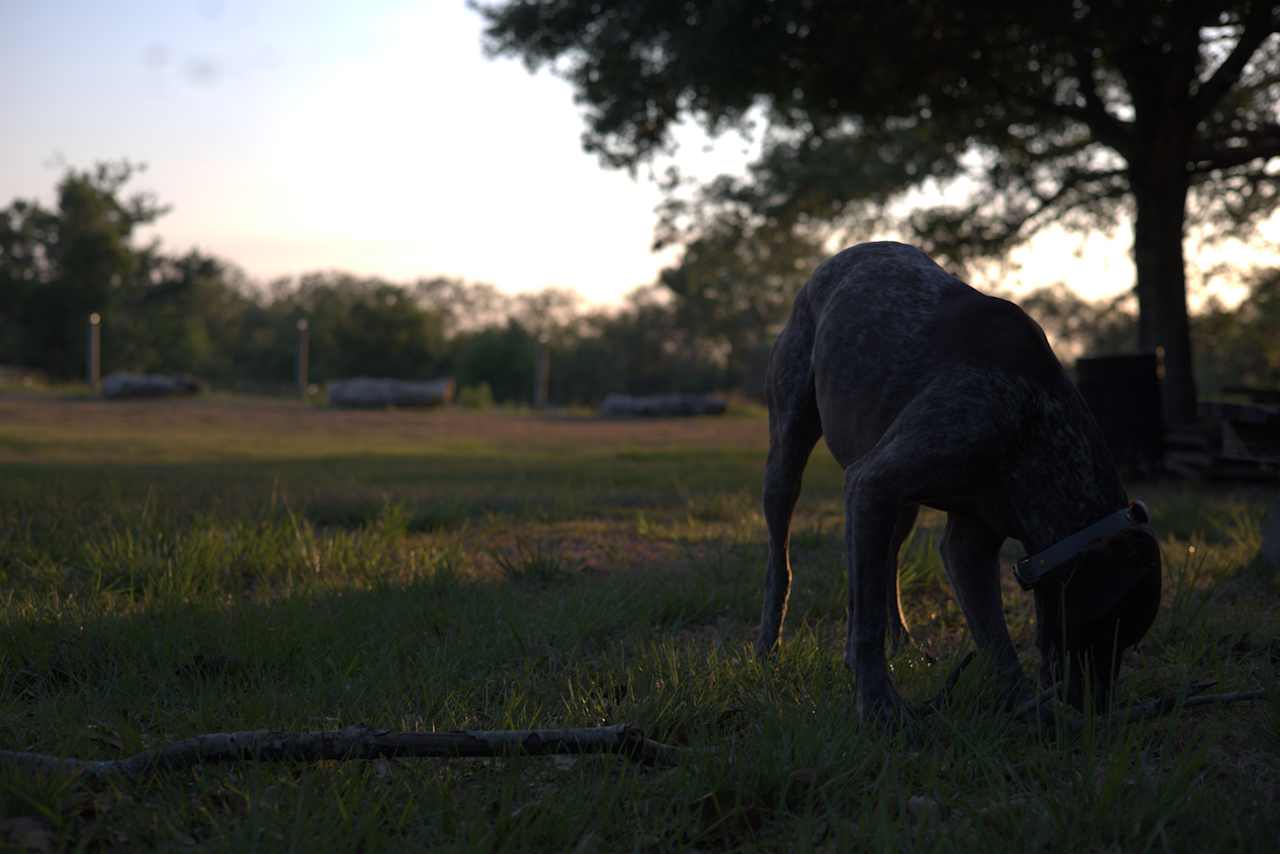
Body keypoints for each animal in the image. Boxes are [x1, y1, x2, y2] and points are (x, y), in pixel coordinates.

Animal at [752, 241, 1167, 722]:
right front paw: (878, 705)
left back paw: (901, 641)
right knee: (782, 564)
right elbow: (869, 624)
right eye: (1104, 624)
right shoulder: (873, 483)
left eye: (1128, 638)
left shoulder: (967, 541)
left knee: (884, 567)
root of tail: (838, 258)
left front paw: (1022, 704)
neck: (1035, 416)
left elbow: (994, 640)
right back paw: (768, 645)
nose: (1094, 711)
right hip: (789, 457)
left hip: (899, 506)